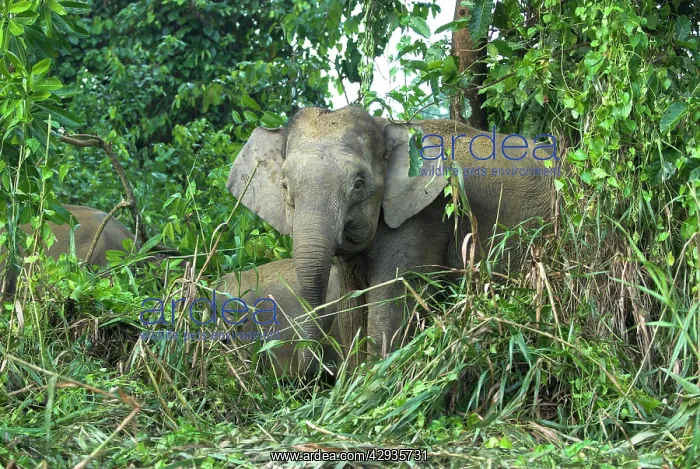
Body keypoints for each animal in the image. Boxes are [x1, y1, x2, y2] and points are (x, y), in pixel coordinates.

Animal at [227, 106, 557, 373]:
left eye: (358, 185)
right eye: (283, 185)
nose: (308, 372)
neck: (387, 125)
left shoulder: (424, 216)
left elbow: (392, 299)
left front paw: (373, 382)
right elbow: (351, 306)